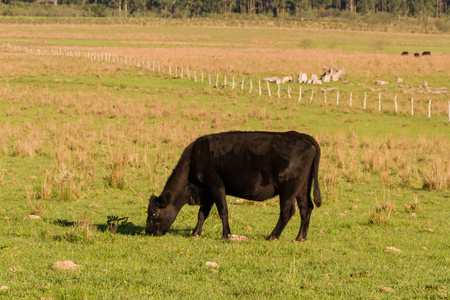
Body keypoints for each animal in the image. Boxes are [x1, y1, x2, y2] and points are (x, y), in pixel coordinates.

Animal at [146, 131, 322, 241]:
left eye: (153, 214)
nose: (148, 232)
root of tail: (302, 137)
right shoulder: (206, 192)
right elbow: (202, 213)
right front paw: (195, 233)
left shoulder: (216, 185)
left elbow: (222, 210)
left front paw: (226, 235)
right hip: (302, 187)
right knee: (306, 208)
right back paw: (300, 238)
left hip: (288, 189)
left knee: (288, 211)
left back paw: (272, 236)